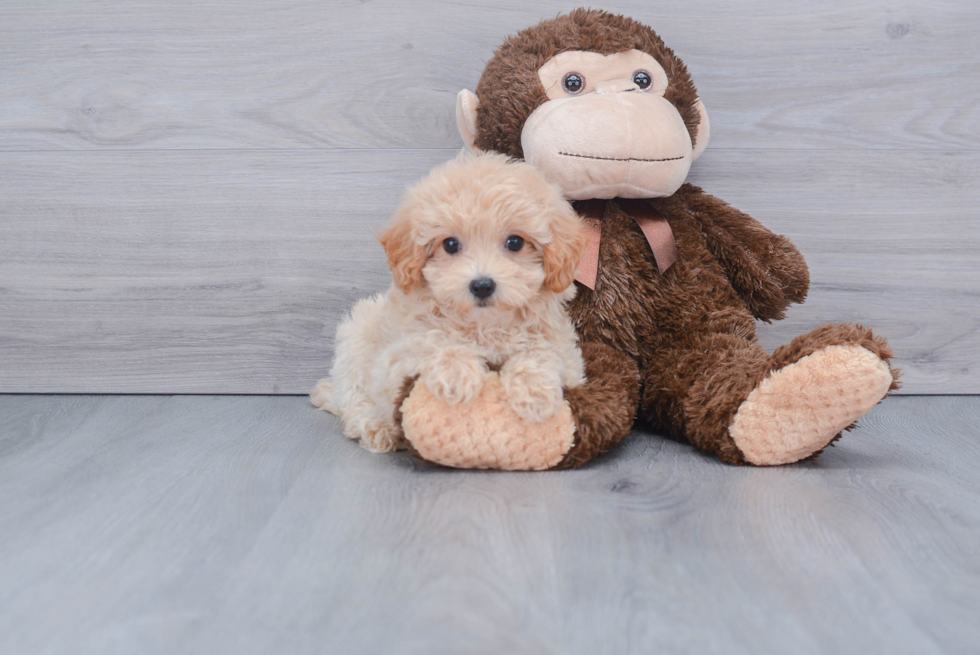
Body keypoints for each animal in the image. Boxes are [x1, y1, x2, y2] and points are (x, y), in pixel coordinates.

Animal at [314, 152, 584, 454]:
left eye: (515, 242)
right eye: (450, 245)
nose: (482, 285)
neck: (483, 327)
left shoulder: (568, 357)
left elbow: (542, 352)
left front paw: (534, 392)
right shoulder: (393, 359)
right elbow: (430, 342)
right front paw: (456, 373)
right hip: (356, 337)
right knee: (356, 400)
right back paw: (376, 426)